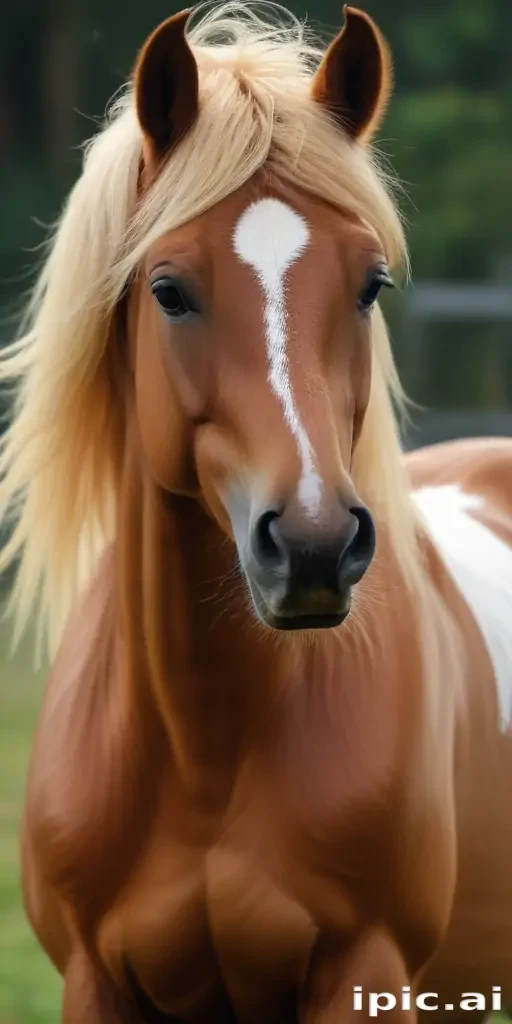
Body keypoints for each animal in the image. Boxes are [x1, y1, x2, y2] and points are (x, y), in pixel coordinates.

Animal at [1, 2, 512, 1021]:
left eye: (370, 284)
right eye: (168, 291)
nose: (314, 547)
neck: (204, 749)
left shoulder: (366, 971)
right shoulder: (94, 984)